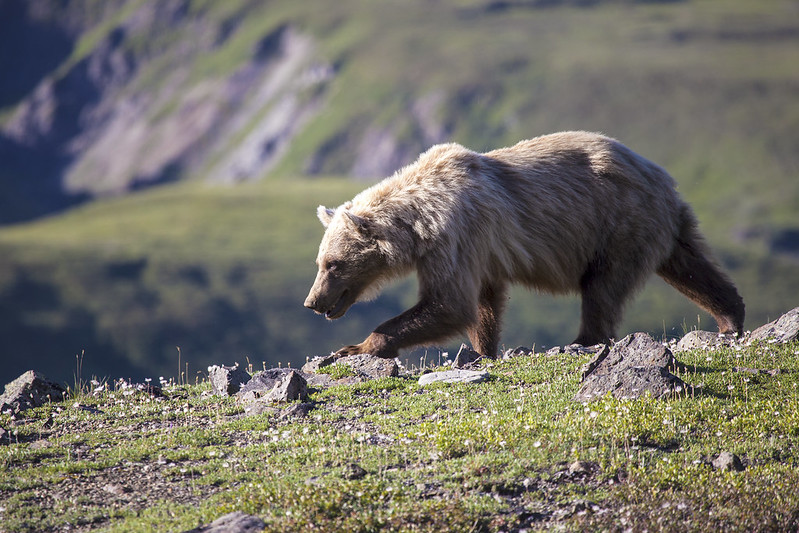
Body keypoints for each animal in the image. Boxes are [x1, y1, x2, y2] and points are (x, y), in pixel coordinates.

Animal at [304, 131, 748, 360]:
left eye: (333, 264)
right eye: (321, 261)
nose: (312, 302)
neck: (418, 224)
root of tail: (662, 177)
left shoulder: (456, 234)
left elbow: (449, 302)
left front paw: (355, 346)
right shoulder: (478, 249)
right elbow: (482, 304)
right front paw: (483, 349)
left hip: (617, 225)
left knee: (603, 288)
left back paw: (583, 340)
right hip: (663, 225)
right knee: (691, 266)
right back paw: (730, 316)